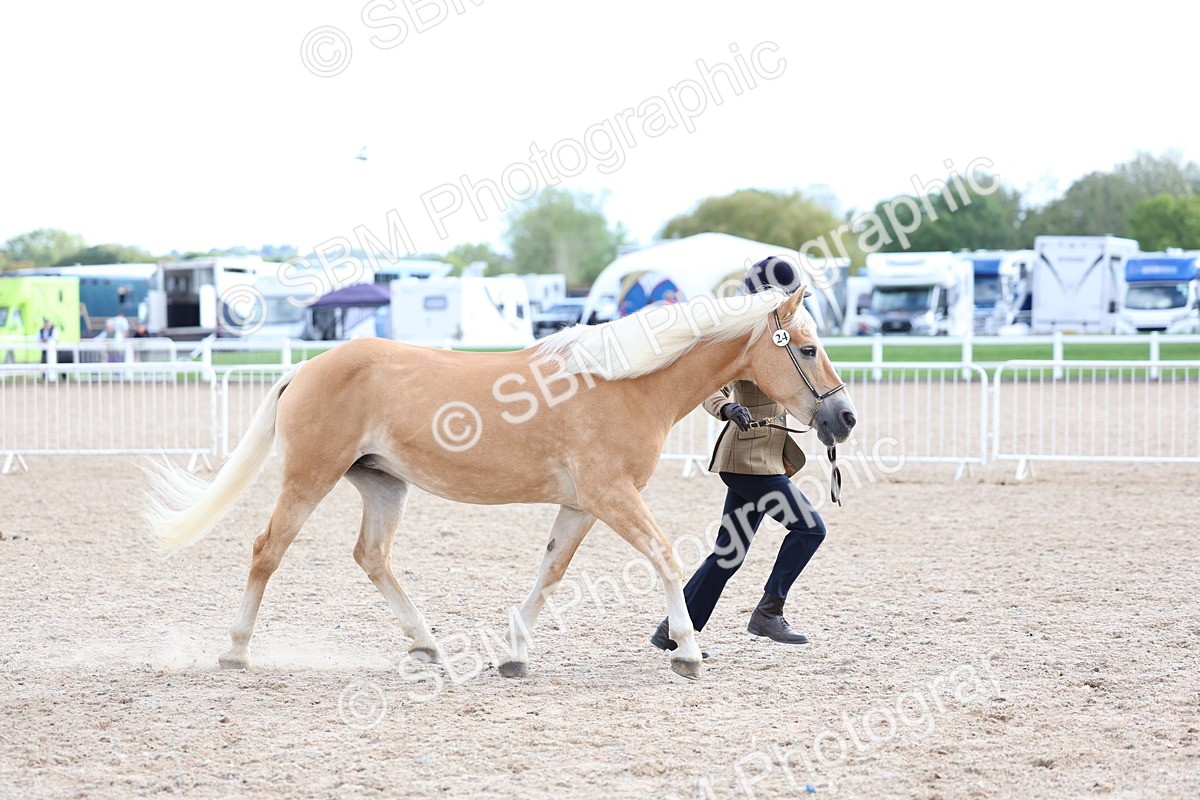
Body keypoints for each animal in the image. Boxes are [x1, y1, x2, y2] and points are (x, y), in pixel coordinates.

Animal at [143, 285, 856, 681]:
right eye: (809, 347)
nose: (843, 418)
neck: (623, 384)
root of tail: (307, 367)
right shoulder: (612, 497)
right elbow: (664, 555)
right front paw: (686, 653)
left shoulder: (583, 505)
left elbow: (551, 572)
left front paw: (513, 654)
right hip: (309, 478)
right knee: (267, 550)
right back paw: (236, 652)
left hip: (382, 486)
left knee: (372, 556)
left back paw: (428, 645)